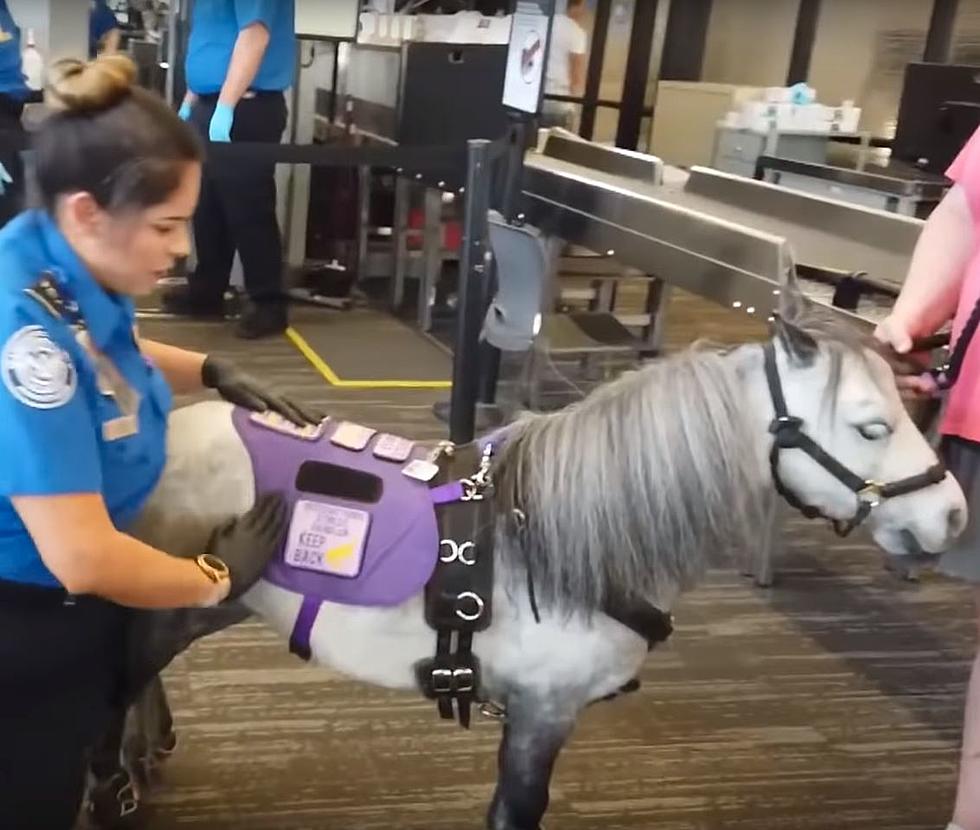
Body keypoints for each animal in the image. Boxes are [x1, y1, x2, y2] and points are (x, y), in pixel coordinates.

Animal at [97, 306, 964, 830]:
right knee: (125, 677)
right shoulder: (544, 713)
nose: (952, 516)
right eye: (872, 426)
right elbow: (517, 811)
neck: (563, 532)